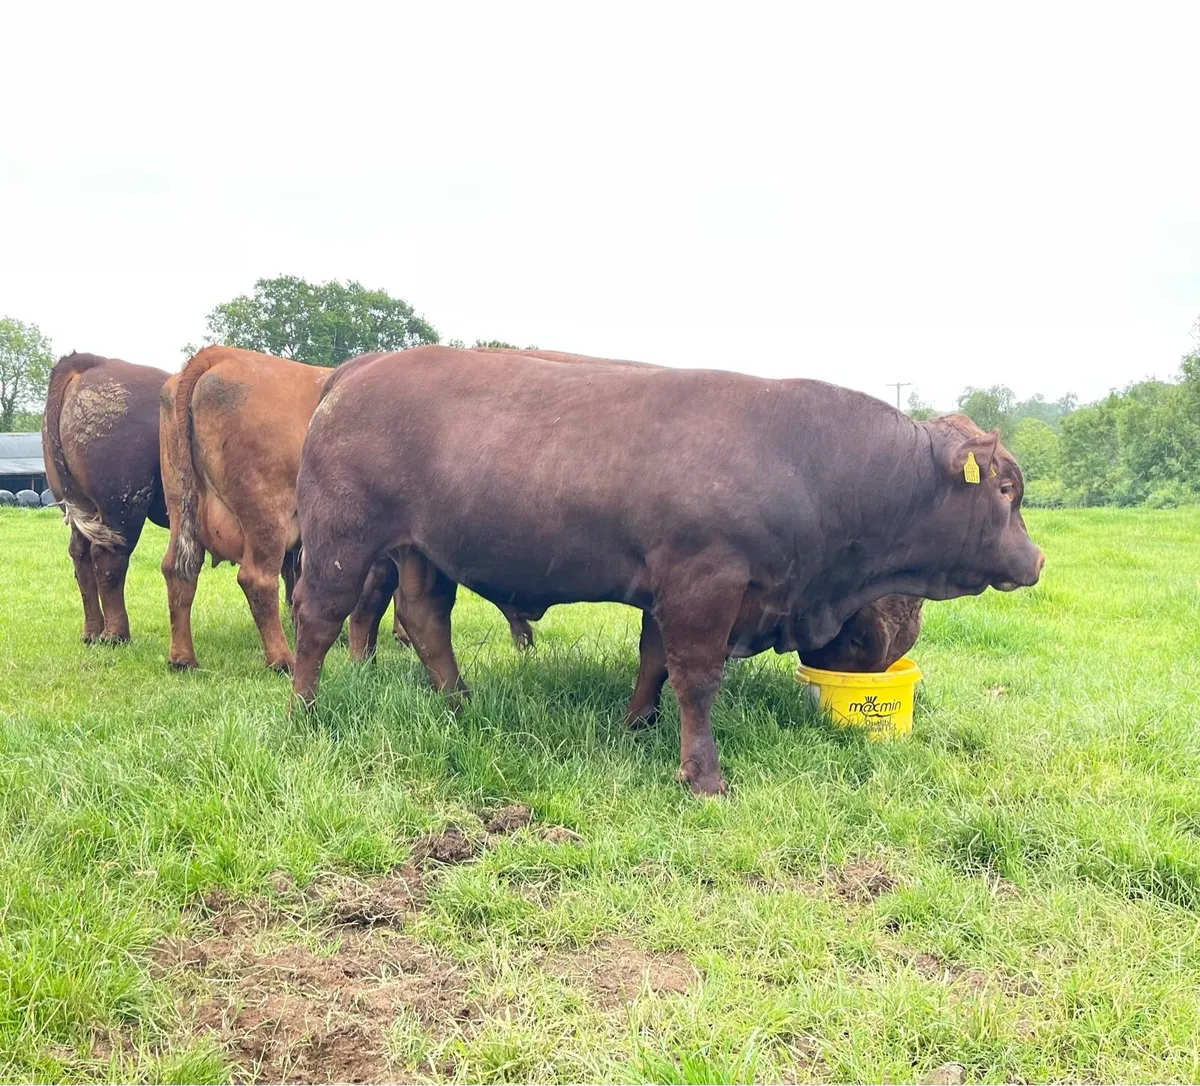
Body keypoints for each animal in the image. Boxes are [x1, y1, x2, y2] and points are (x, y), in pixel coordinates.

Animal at [41, 352, 169, 644]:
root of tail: (92, 363)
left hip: (80, 506)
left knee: (81, 556)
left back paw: (92, 631)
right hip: (123, 505)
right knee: (109, 559)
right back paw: (115, 635)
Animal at [291, 347, 1043, 794]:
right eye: (1007, 489)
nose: (1035, 559)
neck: (809, 461)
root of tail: (354, 372)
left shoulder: (669, 592)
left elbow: (653, 663)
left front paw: (636, 725)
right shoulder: (703, 585)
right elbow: (696, 679)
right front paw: (703, 775)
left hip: (424, 551)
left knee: (425, 621)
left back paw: (459, 702)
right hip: (343, 541)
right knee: (318, 618)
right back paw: (305, 710)